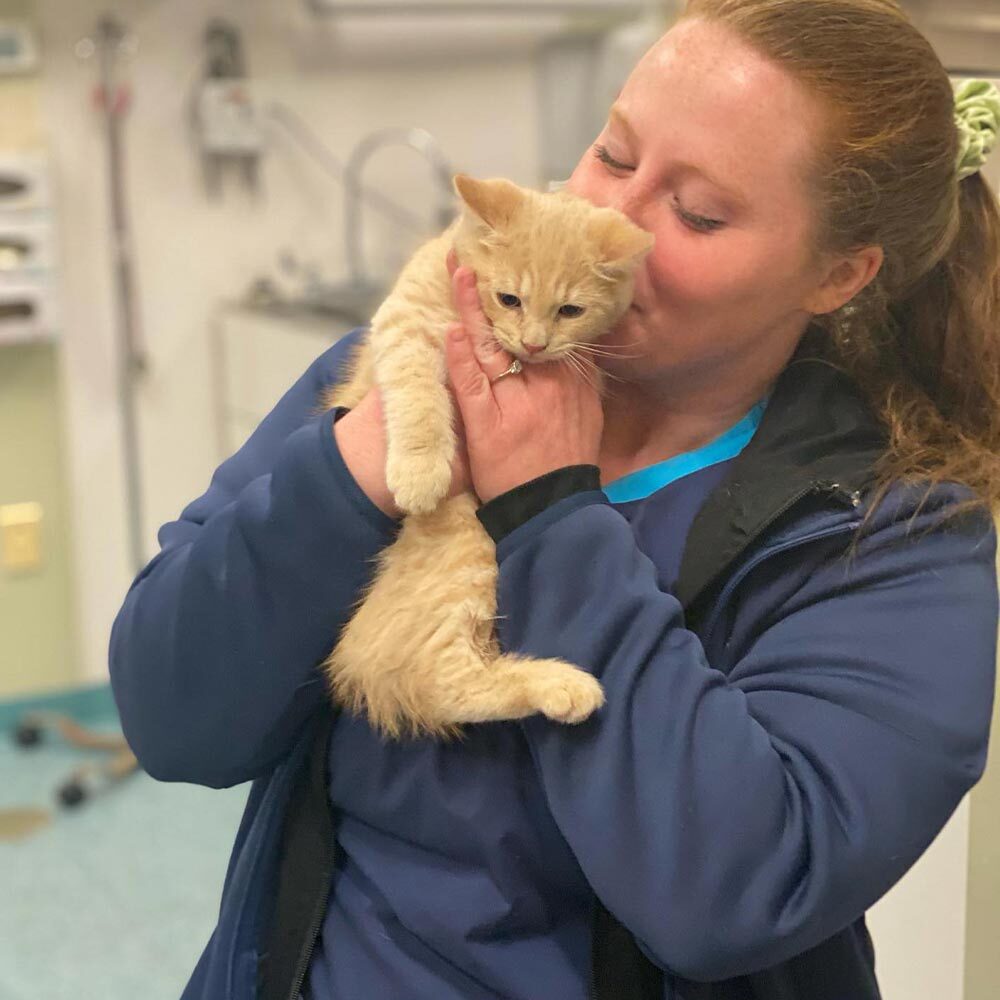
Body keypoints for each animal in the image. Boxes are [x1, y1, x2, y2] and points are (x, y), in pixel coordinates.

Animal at [316, 176, 652, 740]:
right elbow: (415, 391)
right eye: (509, 298)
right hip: (465, 547)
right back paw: (561, 684)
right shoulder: (407, 318)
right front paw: (419, 468)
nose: (534, 345)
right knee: (444, 678)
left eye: (570, 311)